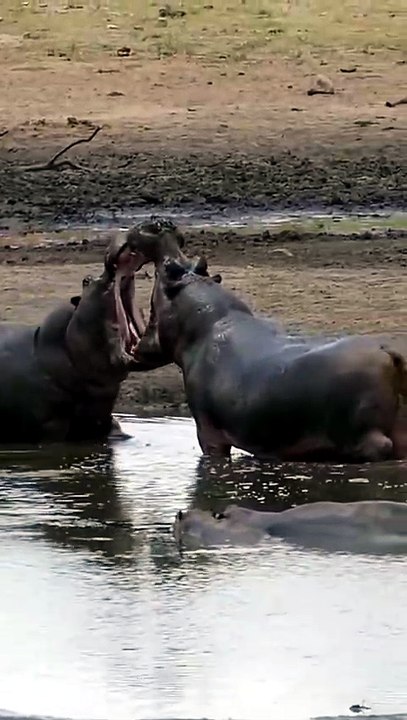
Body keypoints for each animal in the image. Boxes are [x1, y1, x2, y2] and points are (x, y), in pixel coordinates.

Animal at [135, 256, 407, 462]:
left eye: (169, 270)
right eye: (195, 264)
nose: (167, 259)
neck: (209, 322)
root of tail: (387, 352)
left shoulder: (207, 431)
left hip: (363, 434)